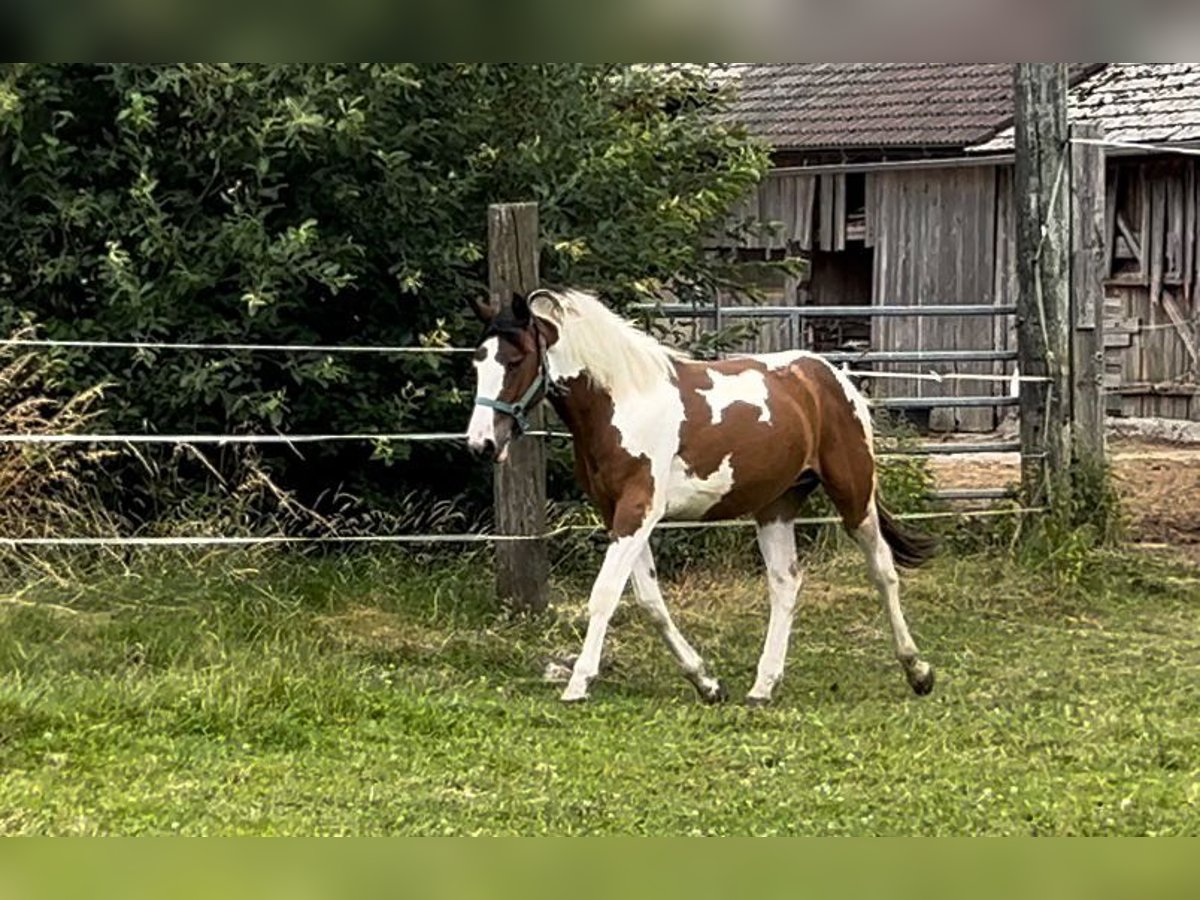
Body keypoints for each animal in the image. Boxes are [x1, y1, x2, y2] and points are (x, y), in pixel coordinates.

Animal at [460, 289, 936, 705]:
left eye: (515, 360)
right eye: (478, 362)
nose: (481, 443)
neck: (621, 402)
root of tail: (830, 376)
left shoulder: (637, 511)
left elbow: (606, 593)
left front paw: (578, 683)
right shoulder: (619, 514)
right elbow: (650, 600)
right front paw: (707, 683)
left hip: (853, 492)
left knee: (882, 570)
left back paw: (918, 671)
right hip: (776, 505)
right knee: (785, 582)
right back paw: (762, 687)